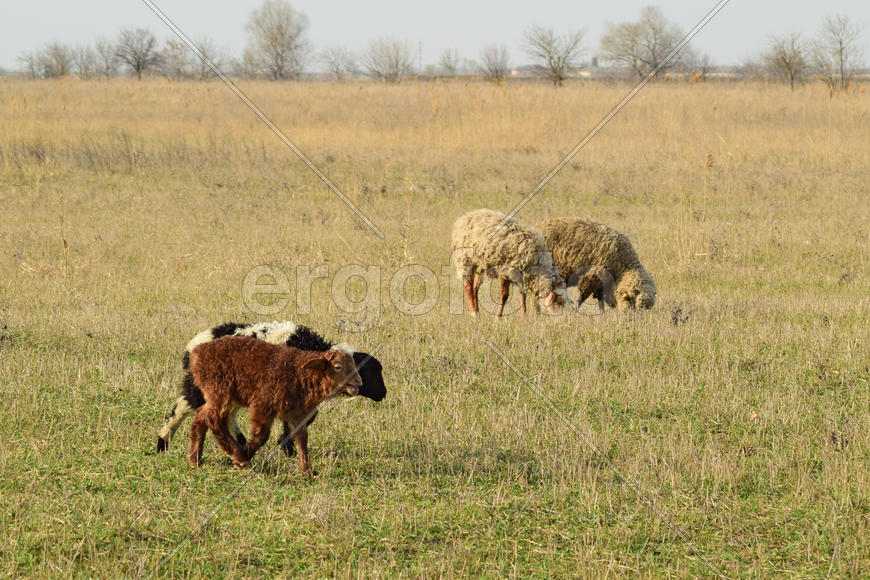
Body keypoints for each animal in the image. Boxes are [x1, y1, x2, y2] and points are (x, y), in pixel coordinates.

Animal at [156, 321, 386, 456]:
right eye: (371, 372)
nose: (383, 394)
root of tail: (193, 345)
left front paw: (286, 447)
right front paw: (288, 449)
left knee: (227, 413)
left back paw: (239, 443)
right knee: (182, 407)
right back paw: (162, 442)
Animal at [187, 335, 362, 473]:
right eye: (338, 367)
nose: (359, 382)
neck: (301, 374)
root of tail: (197, 354)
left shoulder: (298, 414)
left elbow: (302, 439)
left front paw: (307, 471)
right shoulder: (263, 404)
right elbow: (262, 436)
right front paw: (243, 458)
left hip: (220, 395)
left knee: (201, 416)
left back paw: (194, 459)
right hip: (219, 389)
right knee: (214, 420)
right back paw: (238, 455)